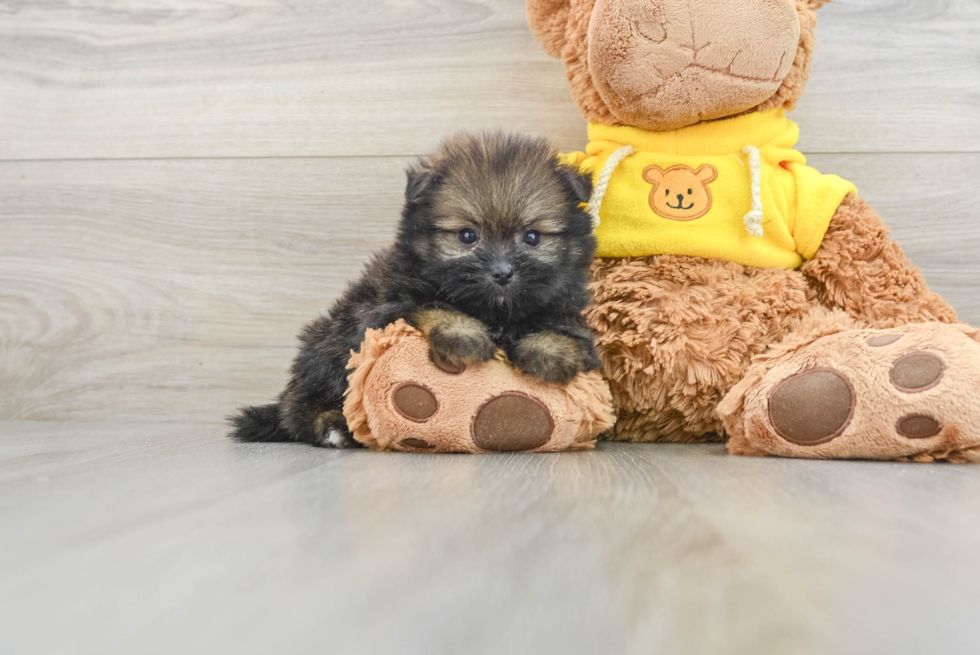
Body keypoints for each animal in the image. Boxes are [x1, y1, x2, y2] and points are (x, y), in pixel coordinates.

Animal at [230, 133, 596, 452]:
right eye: (467, 236)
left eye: (532, 237)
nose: (503, 272)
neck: (493, 311)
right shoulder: (391, 305)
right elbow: (433, 305)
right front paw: (464, 335)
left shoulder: (560, 306)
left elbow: (560, 328)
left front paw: (550, 352)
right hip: (328, 350)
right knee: (301, 408)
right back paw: (332, 427)